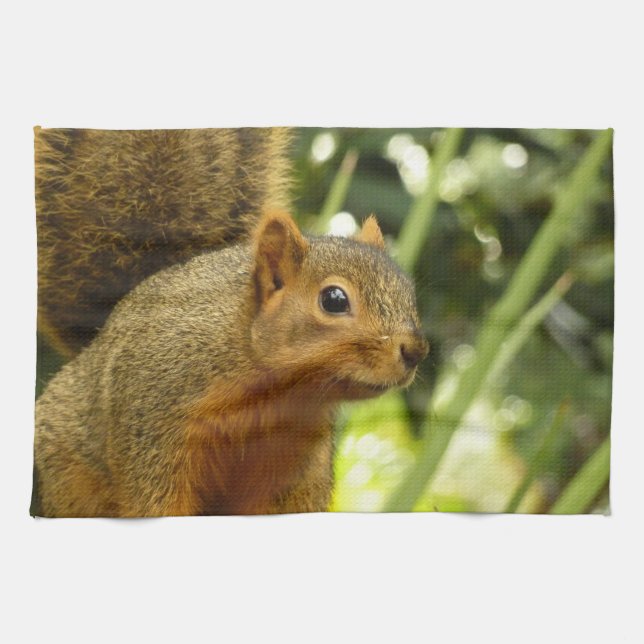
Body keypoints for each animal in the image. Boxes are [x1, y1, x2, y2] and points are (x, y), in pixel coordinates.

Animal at [33, 128, 429, 517]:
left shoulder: (291, 463)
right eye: (334, 299)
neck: (275, 392)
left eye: (409, 292)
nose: (416, 351)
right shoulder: (152, 424)